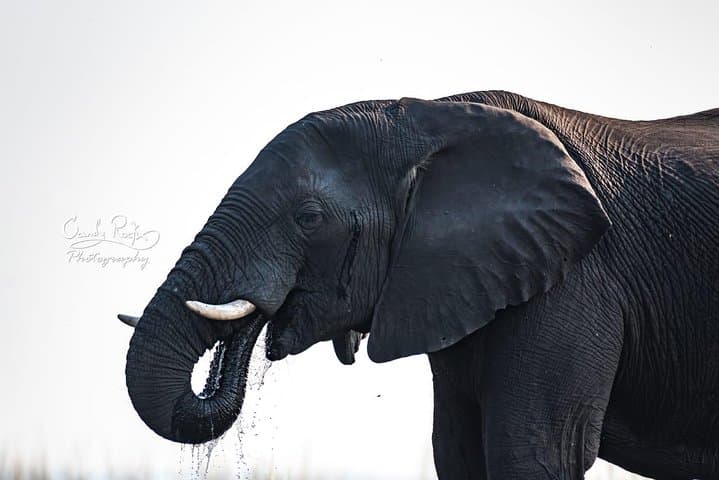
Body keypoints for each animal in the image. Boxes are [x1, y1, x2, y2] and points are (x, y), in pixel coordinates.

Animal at [120, 90, 719, 479]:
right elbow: (457, 453)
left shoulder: (574, 281)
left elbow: (535, 451)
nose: (256, 324)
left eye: (308, 219)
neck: (434, 116)